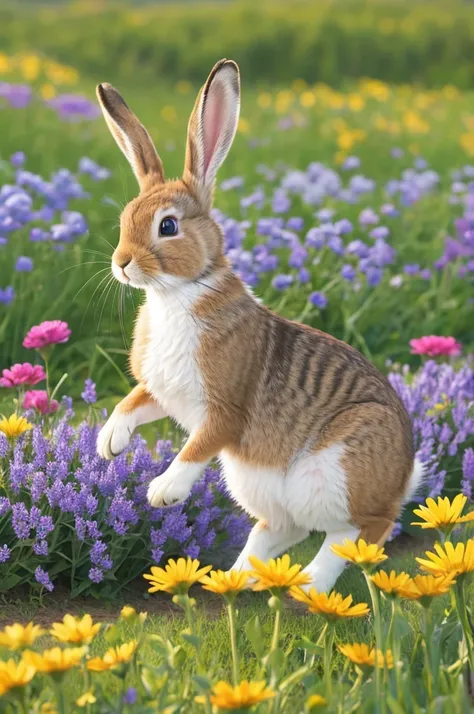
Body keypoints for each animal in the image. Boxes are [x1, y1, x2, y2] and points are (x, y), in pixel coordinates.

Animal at [95, 59, 422, 588]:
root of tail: (403, 477)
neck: (178, 293)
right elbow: (132, 403)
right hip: (257, 482)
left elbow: (196, 448)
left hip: (339, 468)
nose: (122, 263)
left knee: (362, 530)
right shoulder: (162, 390)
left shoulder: (226, 409)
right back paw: (236, 578)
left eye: (168, 226)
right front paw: (108, 445)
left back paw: (309, 585)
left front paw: (162, 492)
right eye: (126, 218)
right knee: (283, 529)